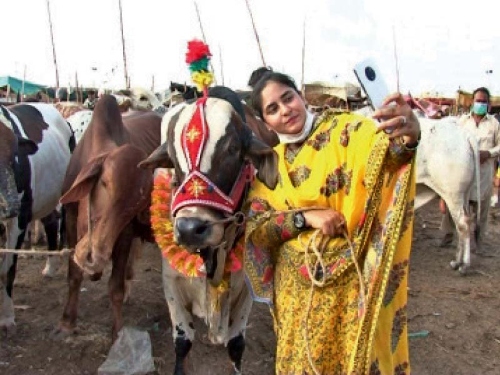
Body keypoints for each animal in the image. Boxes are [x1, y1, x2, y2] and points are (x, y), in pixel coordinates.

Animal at [0, 102, 74, 334]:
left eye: (15, 154)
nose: (9, 204)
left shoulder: (19, 220)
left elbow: (7, 270)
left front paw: (6, 318)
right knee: (51, 222)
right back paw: (50, 267)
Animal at [52, 95, 162, 342]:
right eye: (104, 183)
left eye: (136, 205)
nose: (95, 256)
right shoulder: (70, 219)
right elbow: (74, 274)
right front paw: (67, 321)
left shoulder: (125, 234)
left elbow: (115, 287)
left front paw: (118, 332)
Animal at [139, 86, 278, 375]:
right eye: (172, 157)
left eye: (233, 149)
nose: (190, 229)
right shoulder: (172, 282)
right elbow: (182, 343)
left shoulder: (244, 290)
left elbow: (236, 344)